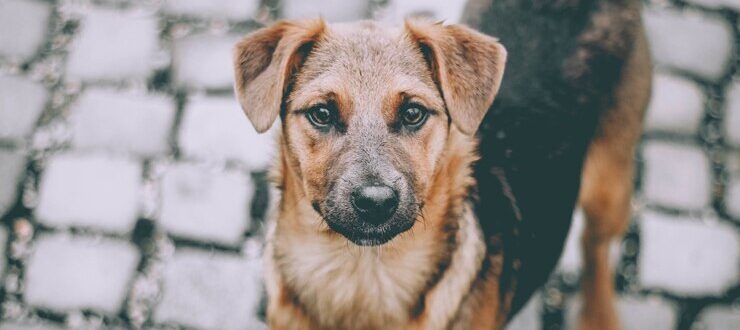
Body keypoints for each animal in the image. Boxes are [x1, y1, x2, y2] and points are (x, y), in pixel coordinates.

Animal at [234, 0, 652, 328]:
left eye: (413, 113)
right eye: (321, 113)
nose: (375, 203)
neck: (364, 278)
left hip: (609, 183)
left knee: (594, 245)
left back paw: (598, 316)